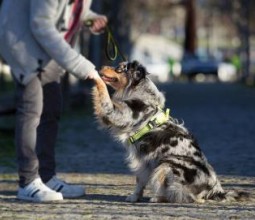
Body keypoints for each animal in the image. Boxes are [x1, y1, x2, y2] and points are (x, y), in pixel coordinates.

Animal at [92, 61, 249, 204]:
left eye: (119, 68)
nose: (101, 66)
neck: (140, 93)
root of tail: (215, 190)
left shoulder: (119, 114)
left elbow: (104, 96)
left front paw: (95, 78)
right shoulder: (143, 162)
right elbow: (140, 181)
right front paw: (135, 197)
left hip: (167, 164)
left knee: (187, 196)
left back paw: (159, 198)